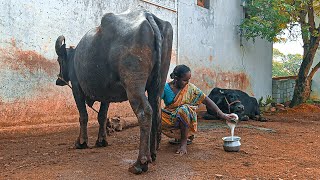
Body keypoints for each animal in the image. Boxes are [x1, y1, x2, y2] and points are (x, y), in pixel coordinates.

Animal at [56, 9, 174, 174]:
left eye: (59, 60)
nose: (58, 80)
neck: (74, 58)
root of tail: (146, 15)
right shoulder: (106, 95)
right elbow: (102, 116)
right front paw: (101, 140)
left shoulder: (77, 88)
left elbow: (83, 116)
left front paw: (81, 142)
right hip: (157, 85)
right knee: (156, 110)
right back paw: (152, 154)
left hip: (134, 86)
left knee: (145, 112)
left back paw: (140, 163)